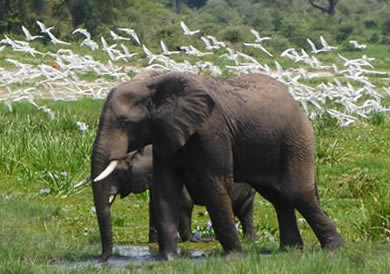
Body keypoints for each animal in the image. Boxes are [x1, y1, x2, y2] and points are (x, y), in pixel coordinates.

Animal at [92, 71, 344, 262]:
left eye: (126, 123)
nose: (102, 260)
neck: (154, 84)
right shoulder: (166, 132)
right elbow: (166, 190)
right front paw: (167, 259)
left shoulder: (212, 131)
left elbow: (214, 185)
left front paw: (234, 257)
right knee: (279, 197)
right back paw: (290, 250)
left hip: (296, 140)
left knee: (297, 193)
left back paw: (334, 248)